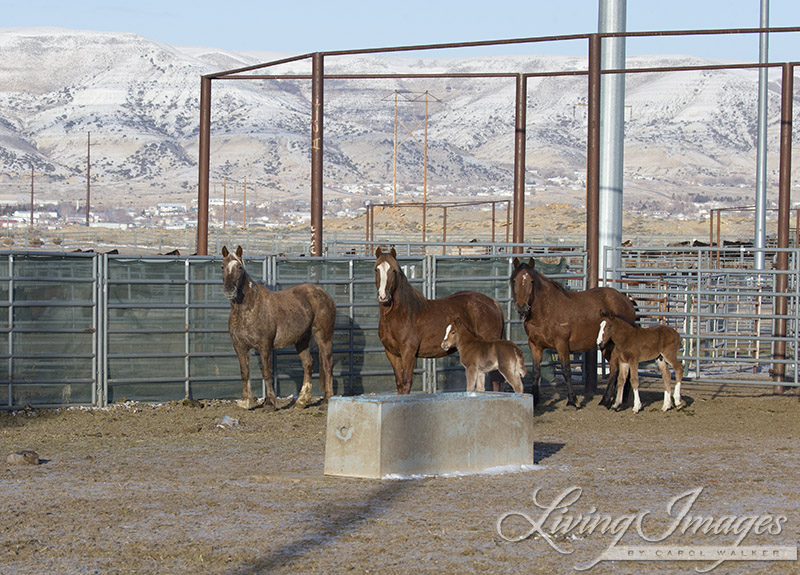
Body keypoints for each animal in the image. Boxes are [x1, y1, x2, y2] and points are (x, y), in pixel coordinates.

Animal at [374, 248, 500, 396]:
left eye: (393, 270)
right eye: (376, 269)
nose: (383, 295)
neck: (401, 313)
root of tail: (493, 302)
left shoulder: (408, 353)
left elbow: (406, 383)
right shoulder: (392, 354)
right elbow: (400, 384)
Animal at [510, 258, 636, 408]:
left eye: (531, 281)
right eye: (514, 280)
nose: (522, 307)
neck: (546, 311)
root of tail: (627, 301)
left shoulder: (562, 344)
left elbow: (566, 370)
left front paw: (572, 400)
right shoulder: (535, 345)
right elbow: (536, 372)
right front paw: (535, 399)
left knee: (617, 369)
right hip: (606, 346)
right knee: (615, 369)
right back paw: (607, 400)